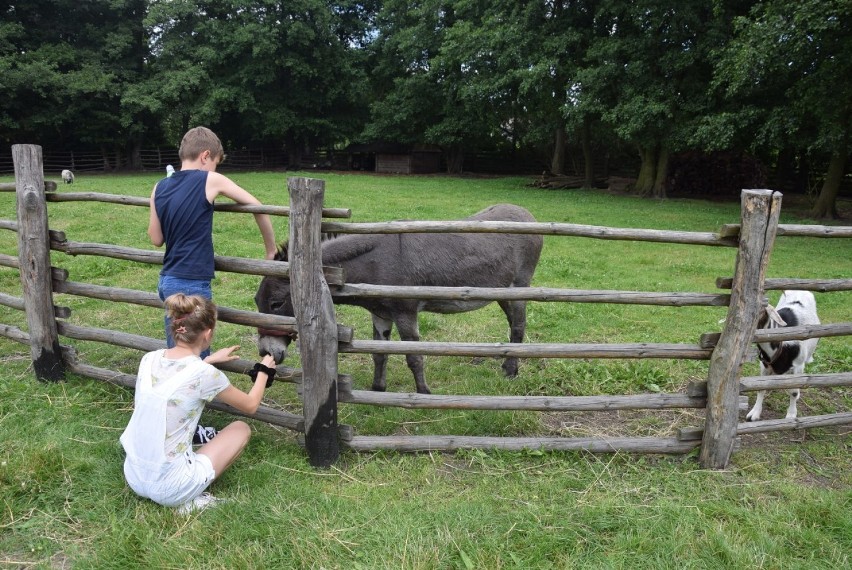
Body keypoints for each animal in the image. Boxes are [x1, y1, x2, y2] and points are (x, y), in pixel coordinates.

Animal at [748, 290, 824, 420]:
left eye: (762, 310)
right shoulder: (764, 365)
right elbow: (761, 388)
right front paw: (755, 413)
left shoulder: (798, 366)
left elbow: (793, 391)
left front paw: (791, 415)